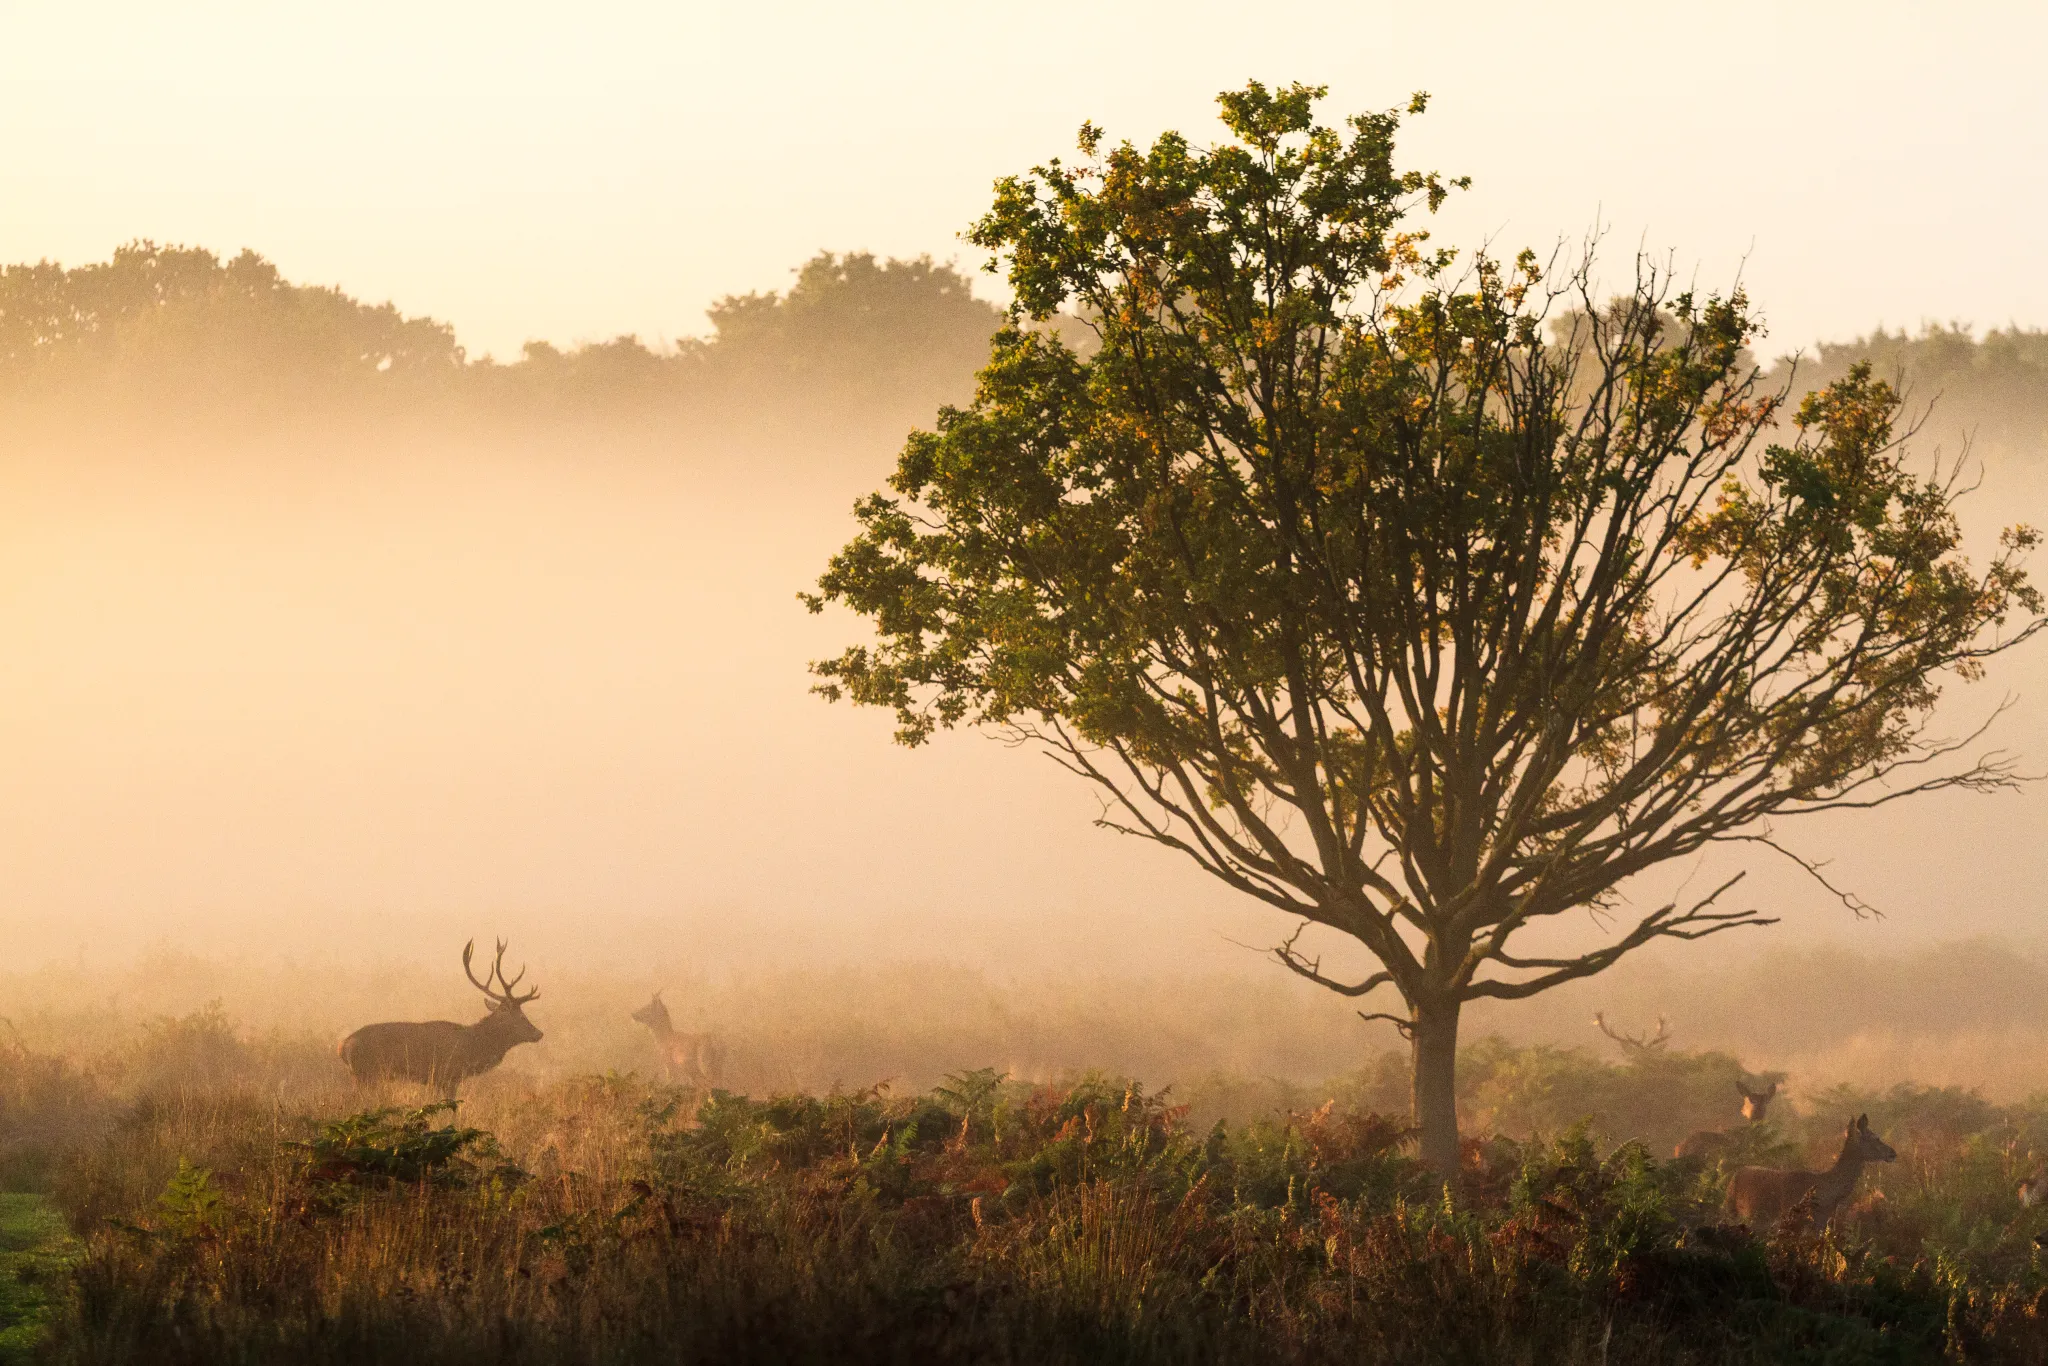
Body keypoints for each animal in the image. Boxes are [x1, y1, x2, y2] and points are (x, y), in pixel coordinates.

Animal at [338, 939, 543, 1094]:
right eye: (521, 1016)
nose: (539, 1033)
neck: (473, 1047)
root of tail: (342, 1047)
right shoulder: (446, 1076)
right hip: (366, 1074)